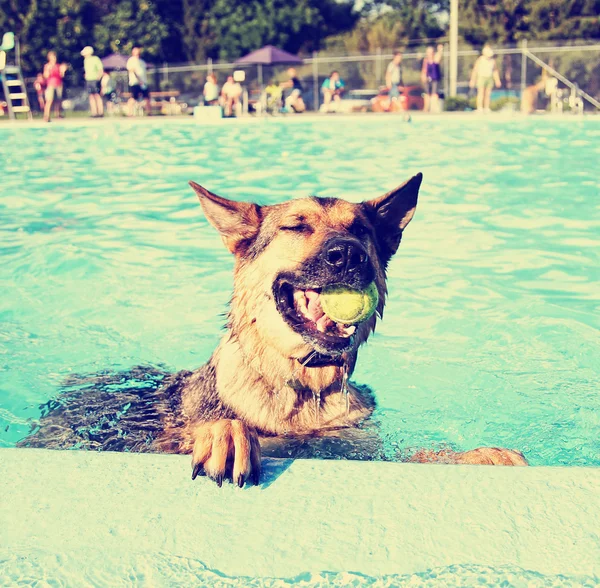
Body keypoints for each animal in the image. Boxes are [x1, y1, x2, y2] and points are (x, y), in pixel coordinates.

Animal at [17, 175, 524, 486]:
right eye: (296, 227)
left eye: (361, 230)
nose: (349, 254)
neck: (303, 391)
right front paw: (226, 434)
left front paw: (480, 456)